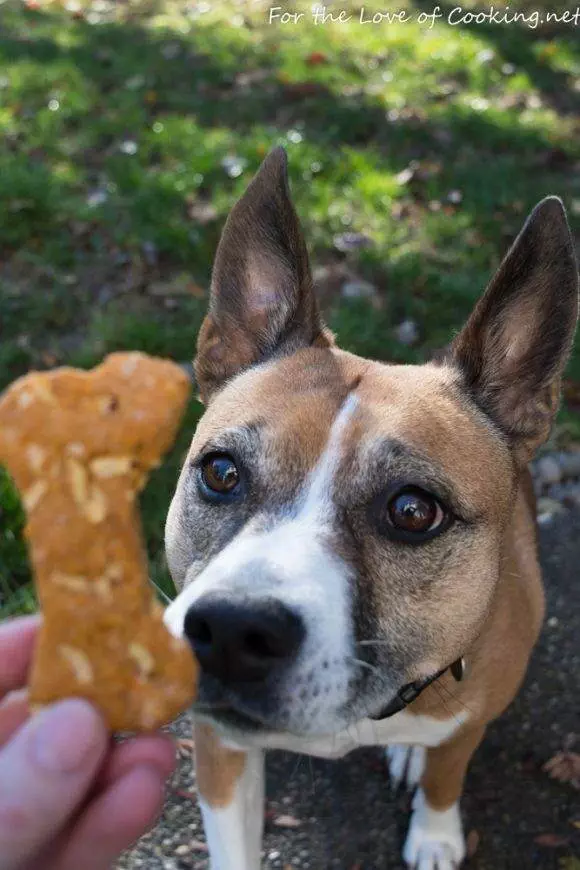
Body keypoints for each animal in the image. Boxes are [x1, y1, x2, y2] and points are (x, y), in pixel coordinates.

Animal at [164, 146, 580, 868]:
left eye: (414, 512)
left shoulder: (468, 721)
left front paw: (435, 833)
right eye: (220, 472)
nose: (231, 631)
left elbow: (446, 774)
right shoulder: (219, 749)